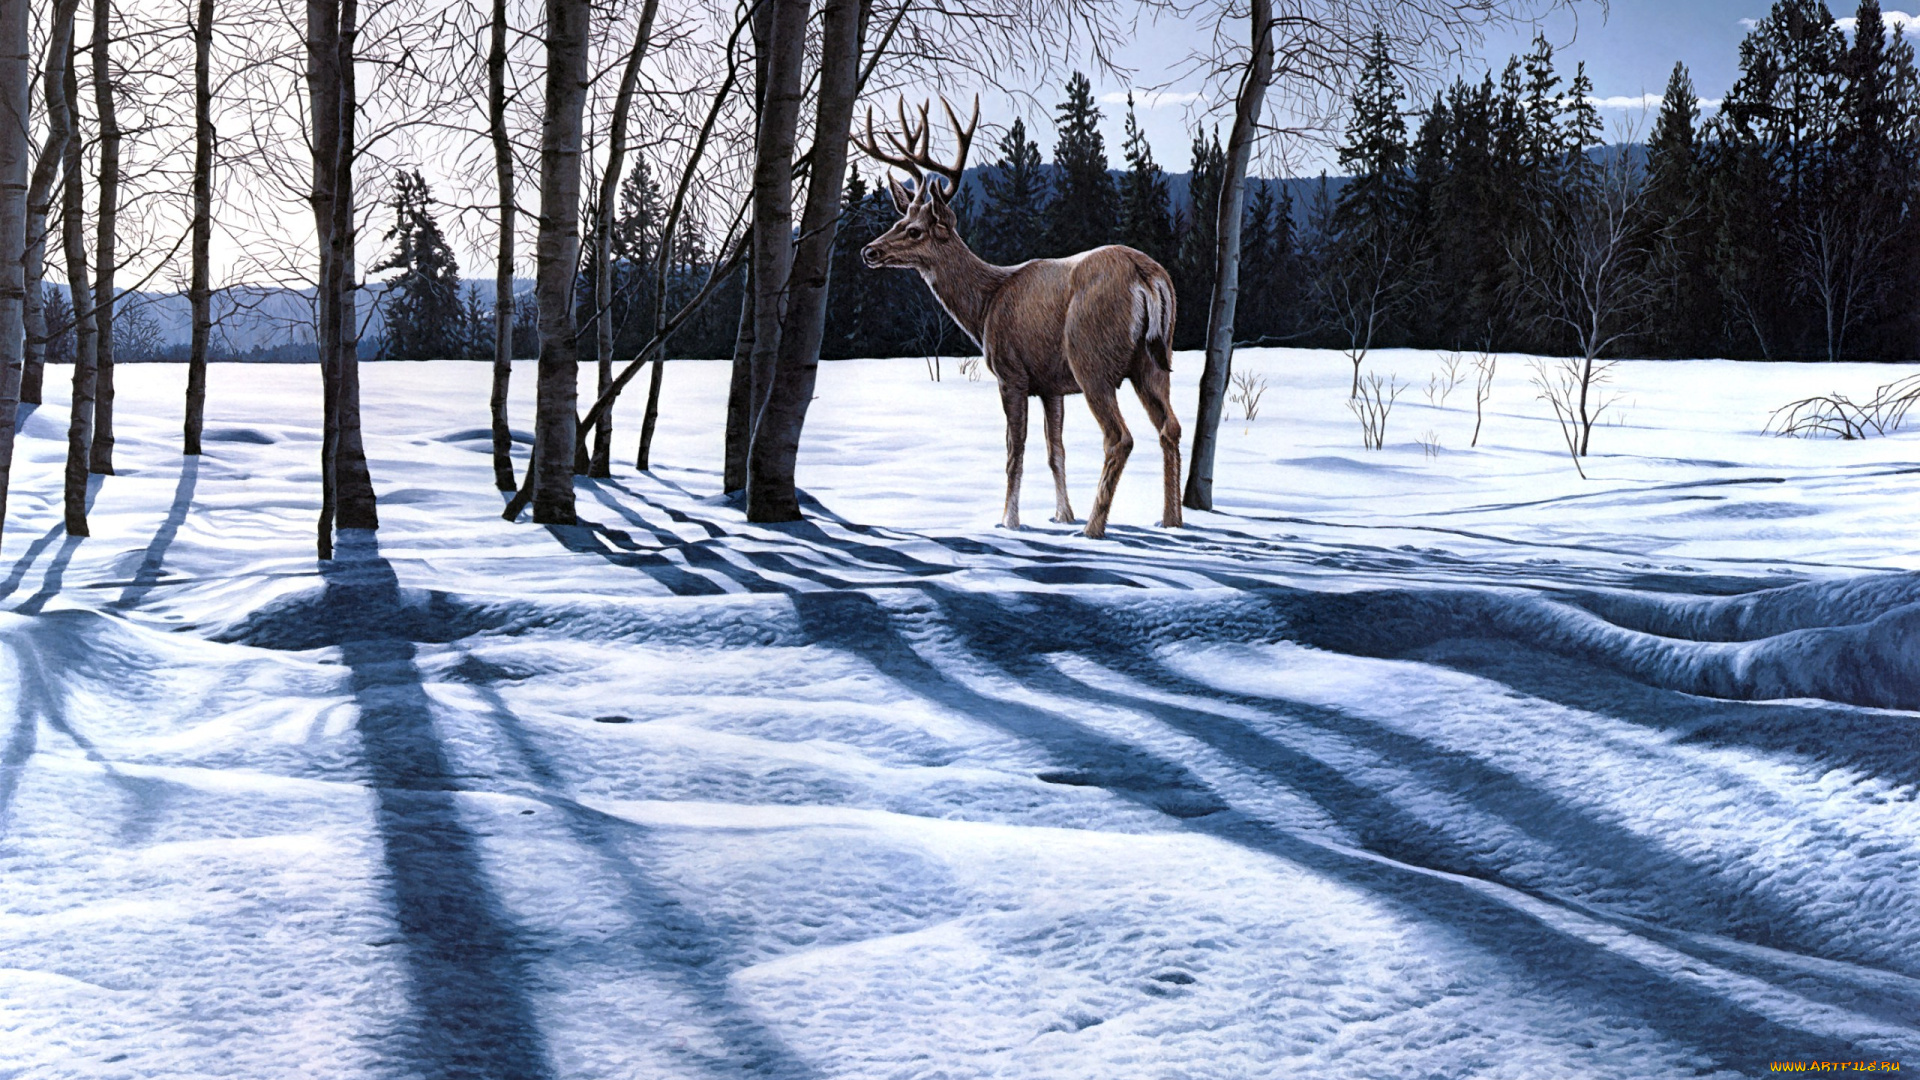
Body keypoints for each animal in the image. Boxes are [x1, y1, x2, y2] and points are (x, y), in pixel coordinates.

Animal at [854, 98, 1183, 540]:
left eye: (915, 231)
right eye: (897, 221)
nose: (869, 251)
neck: (985, 305)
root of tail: (1144, 274)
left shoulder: (1012, 372)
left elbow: (1015, 450)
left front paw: (1009, 521)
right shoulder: (1051, 385)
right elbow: (1055, 450)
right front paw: (1062, 514)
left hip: (1091, 357)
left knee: (1120, 437)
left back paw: (1094, 528)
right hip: (1153, 359)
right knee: (1170, 428)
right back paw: (1171, 521)